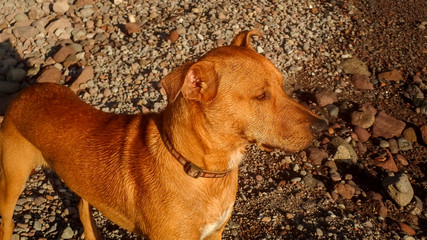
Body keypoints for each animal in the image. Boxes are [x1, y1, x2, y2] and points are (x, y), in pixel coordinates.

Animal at [0, 30, 328, 240]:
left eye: (282, 85)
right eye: (261, 96)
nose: (322, 127)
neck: (199, 168)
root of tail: (28, 90)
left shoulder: (215, 233)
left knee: (82, 205)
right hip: (12, 179)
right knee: (6, 221)